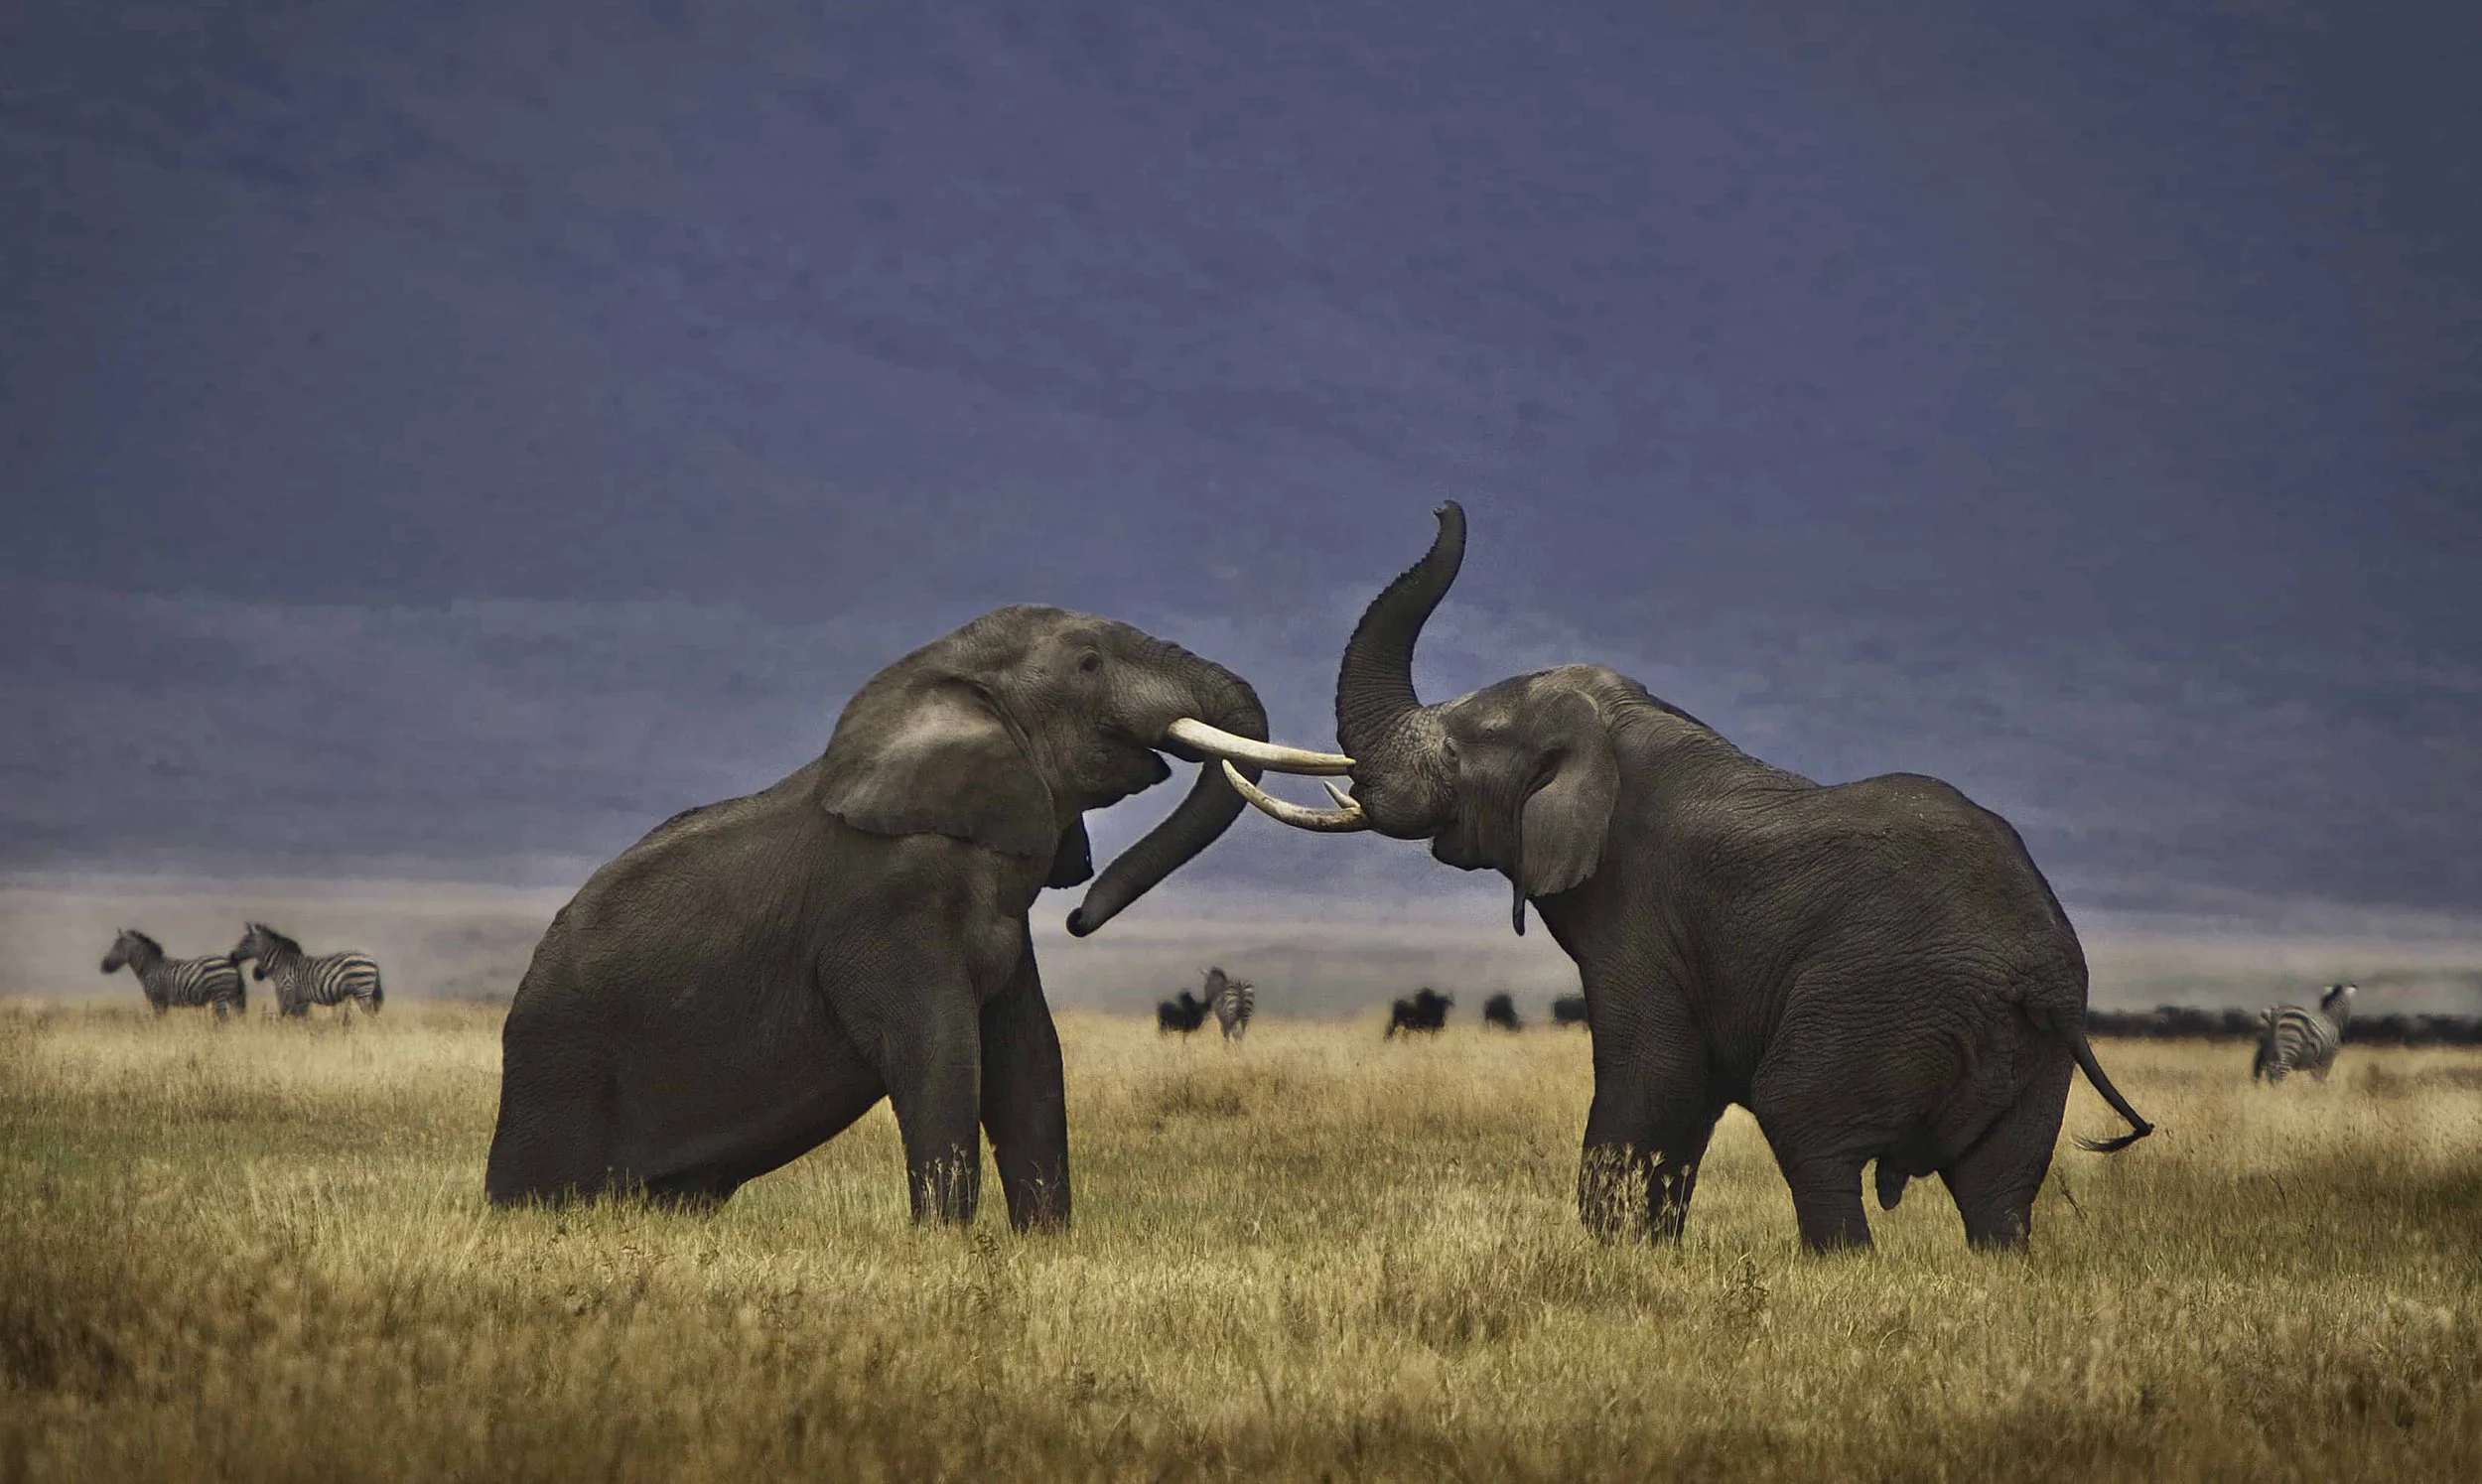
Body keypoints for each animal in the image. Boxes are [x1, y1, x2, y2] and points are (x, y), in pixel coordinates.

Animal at [482, 605, 1352, 1227]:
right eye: (1089, 663)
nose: (1082, 919)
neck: (943, 677)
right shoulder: (887, 911)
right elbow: (943, 1058)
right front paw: (946, 1243)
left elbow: (1031, 1061)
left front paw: (1047, 1243)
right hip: (560, 1062)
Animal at [1223, 503, 2153, 1252]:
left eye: (1459, 749)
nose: (1443, 506)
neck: (1619, 725)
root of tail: (2038, 973)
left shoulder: (1641, 909)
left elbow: (1654, 1071)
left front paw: (1618, 1257)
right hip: (2033, 1057)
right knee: (1999, 1188)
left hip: (1879, 999)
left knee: (1809, 1130)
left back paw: (1839, 1267)